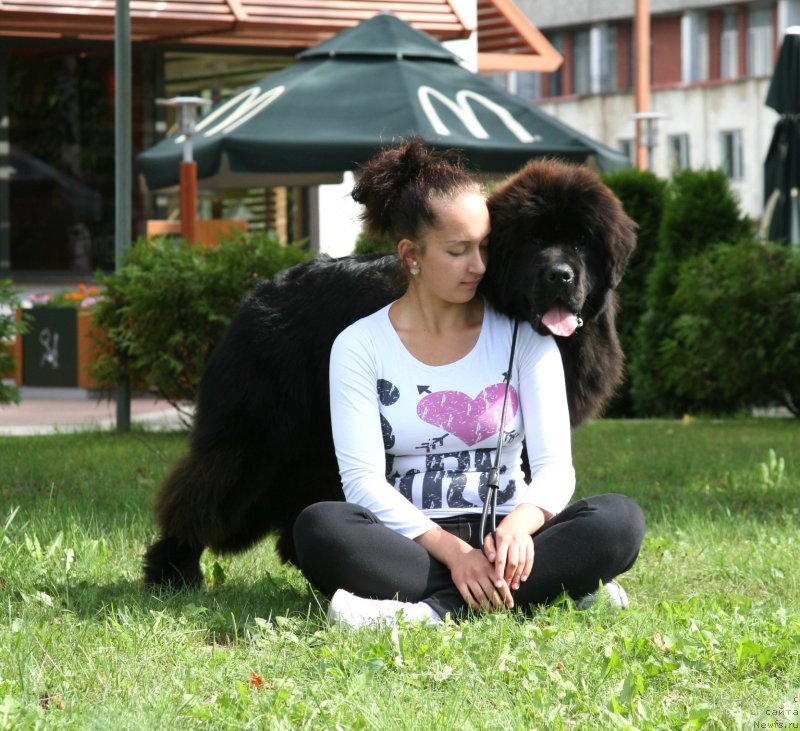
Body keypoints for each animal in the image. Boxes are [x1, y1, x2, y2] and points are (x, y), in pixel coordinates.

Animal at [142, 157, 632, 588]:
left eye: (582, 240)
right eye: (533, 240)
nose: (560, 275)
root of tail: (260, 292)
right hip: (259, 437)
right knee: (204, 493)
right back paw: (173, 569)